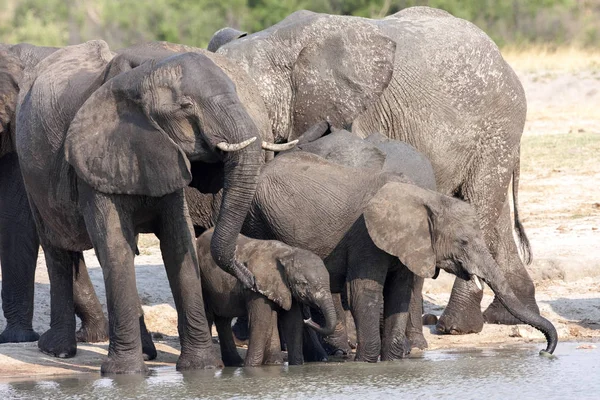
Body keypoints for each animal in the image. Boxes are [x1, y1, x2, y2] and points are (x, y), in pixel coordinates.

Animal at [197, 230, 338, 368]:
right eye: (302, 283)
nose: (308, 319)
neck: (287, 254)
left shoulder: (286, 288)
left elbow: (293, 322)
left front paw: (295, 366)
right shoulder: (256, 286)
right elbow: (261, 320)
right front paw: (251, 367)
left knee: (223, 320)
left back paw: (236, 363)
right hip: (205, 284)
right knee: (209, 316)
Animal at [210, 7, 536, 336]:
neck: (276, 42)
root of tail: (502, 58)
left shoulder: (354, 109)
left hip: (498, 124)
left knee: (481, 200)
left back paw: (455, 326)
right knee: (494, 214)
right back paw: (506, 316)